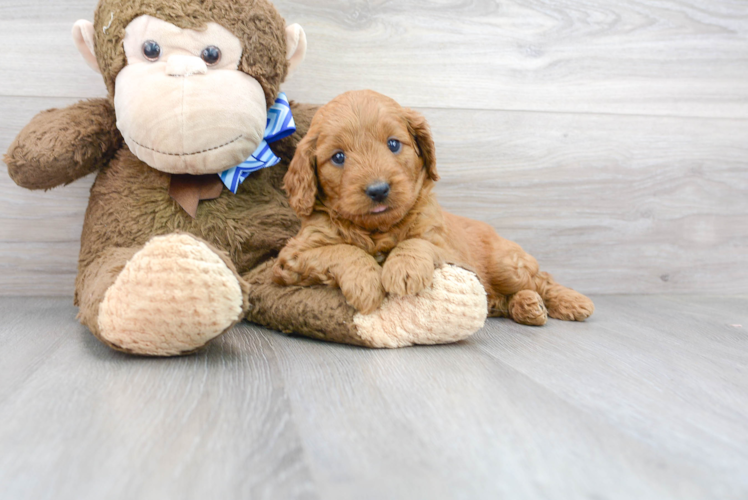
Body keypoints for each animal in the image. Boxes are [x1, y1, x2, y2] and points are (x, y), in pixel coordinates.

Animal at [272, 89, 592, 324]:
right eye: (338, 157)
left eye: (393, 144)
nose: (378, 190)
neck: (377, 230)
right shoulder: (291, 257)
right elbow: (340, 250)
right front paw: (366, 283)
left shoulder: (448, 248)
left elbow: (417, 242)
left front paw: (403, 269)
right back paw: (527, 306)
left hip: (506, 265)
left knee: (541, 279)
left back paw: (572, 301)